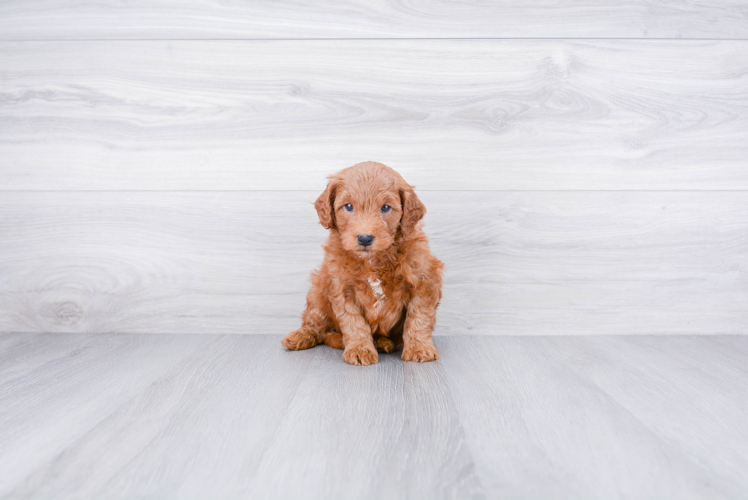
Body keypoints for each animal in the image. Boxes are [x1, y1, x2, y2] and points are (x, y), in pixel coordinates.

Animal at [280, 162, 444, 366]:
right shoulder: (342, 288)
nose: (365, 238)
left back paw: (382, 342)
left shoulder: (424, 281)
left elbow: (419, 318)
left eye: (386, 208)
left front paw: (419, 348)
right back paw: (301, 336)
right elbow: (354, 322)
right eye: (348, 206)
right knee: (317, 327)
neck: (373, 261)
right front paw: (359, 349)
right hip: (317, 293)